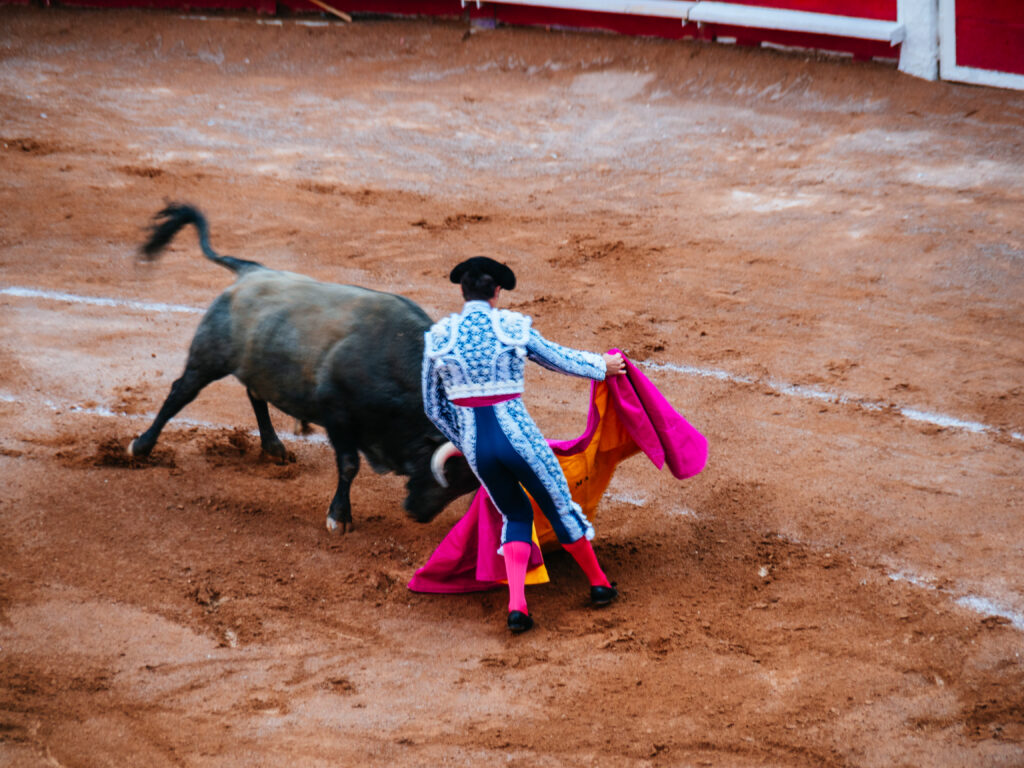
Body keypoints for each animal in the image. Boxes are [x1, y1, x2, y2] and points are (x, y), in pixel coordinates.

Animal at [130, 201, 477, 532]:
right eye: (444, 473)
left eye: (465, 486)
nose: (418, 515)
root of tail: (250, 272)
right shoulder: (337, 414)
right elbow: (349, 464)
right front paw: (339, 518)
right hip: (208, 358)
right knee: (181, 392)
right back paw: (141, 447)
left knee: (255, 395)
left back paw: (274, 447)